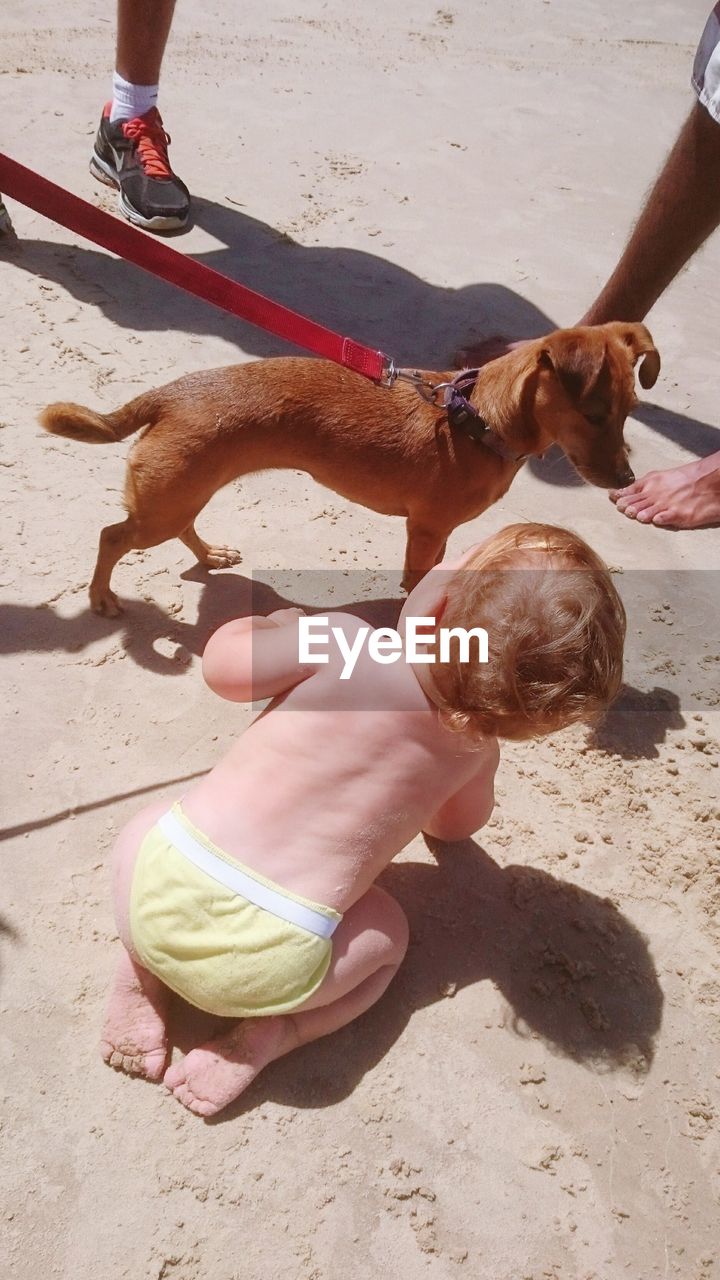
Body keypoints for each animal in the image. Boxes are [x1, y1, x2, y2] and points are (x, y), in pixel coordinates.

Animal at [40, 322, 655, 616]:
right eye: (594, 414)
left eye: (631, 411)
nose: (627, 482)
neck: (475, 417)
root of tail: (170, 394)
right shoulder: (425, 530)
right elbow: (416, 581)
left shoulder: (436, 533)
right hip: (164, 506)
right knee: (112, 535)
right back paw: (101, 597)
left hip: (184, 493)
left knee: (181, 528)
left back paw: (209, 555)